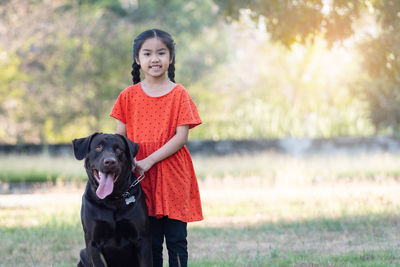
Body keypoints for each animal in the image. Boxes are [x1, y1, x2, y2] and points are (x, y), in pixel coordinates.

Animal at [72, 133, 152, 266]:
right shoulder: (93, 243)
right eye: (98, 147)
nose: (110, 162)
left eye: (119, 149)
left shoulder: (142, 239)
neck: (112, 199)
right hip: (83, 253)